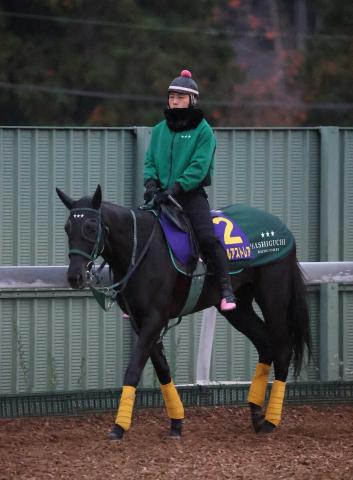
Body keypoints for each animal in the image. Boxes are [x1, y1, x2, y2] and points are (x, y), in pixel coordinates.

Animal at [56, 186, 310, 440]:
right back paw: (257, 414)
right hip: (239, 308)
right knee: (264, 343)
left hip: (273, 298)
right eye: (68, 228)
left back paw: (271, 421)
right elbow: (162, 369)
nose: (74, 276)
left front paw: (119, 426)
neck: (139, 248)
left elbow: (134, 369)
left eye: (90, 227)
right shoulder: (140, 321)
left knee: (282, 350)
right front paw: (176, 422)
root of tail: (284, 229)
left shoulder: (154, 318)